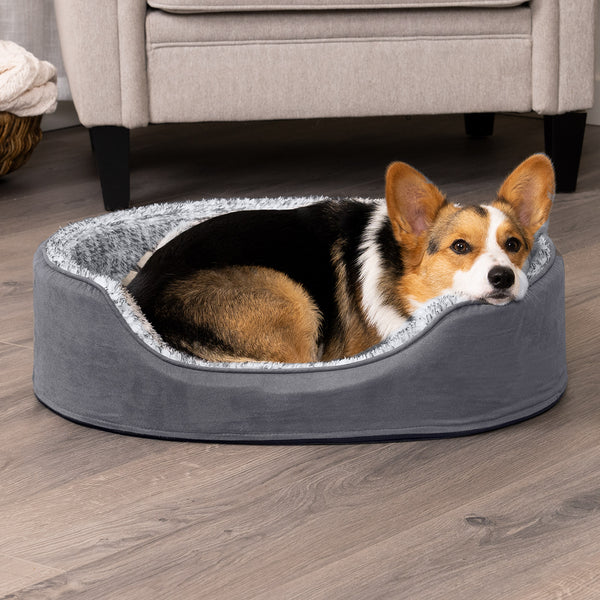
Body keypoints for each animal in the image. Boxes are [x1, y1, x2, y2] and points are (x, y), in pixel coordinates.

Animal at [126, 152, 552, 364]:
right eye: (460, 246)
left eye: (514, 245)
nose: (503, 278)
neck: (402, 284)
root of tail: (137, 293)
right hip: (289, 297)